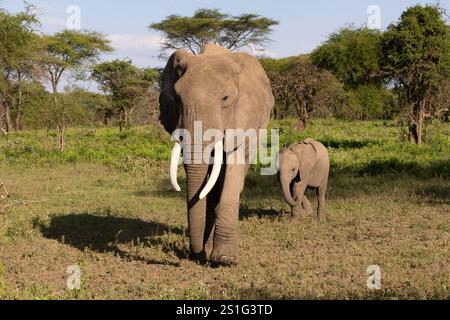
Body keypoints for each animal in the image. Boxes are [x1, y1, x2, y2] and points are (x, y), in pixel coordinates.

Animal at [160, 45, 276, 264]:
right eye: (176, 99)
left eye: (225, 99)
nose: (195, 254)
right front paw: (205, 254)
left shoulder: (243, 118)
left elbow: (233, 168)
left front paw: (225, 258)